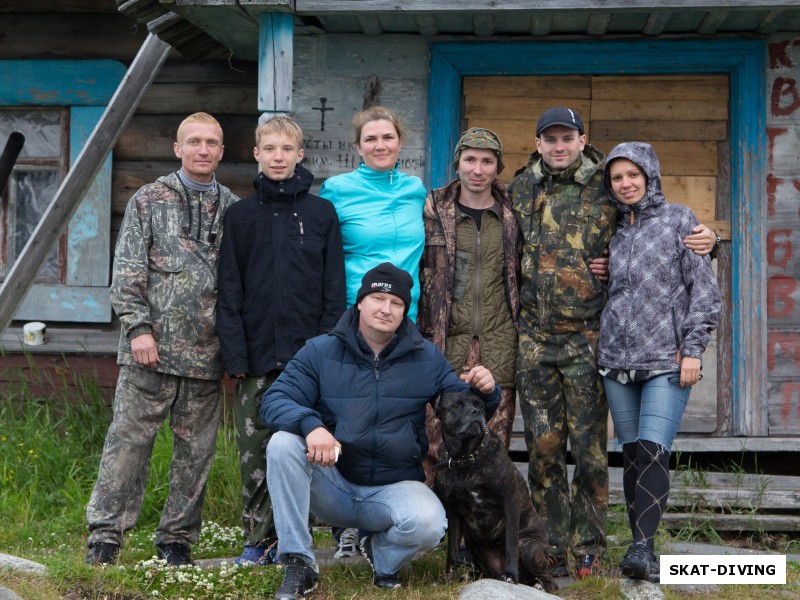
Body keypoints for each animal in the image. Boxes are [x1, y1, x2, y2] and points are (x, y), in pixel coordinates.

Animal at [434, 390, 552, 592]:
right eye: (456, 406)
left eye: (479, 405)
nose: (475, 412)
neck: (466, 458)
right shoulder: (453, 512)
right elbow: (452, 550)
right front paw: (447, 579)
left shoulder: (510, 502)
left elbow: (511, 543)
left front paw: (511, 575)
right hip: (472, 541)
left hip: (528, 546)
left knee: (548, 579)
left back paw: (539, 585)